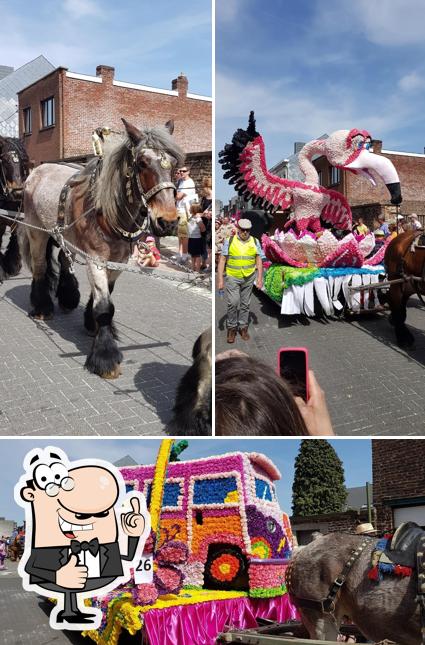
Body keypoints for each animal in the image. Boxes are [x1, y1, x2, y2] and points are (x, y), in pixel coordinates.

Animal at [19, 119, 183, 378]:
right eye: (142, 163)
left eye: (174, 164)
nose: (168, 221)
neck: (106, 211)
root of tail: (37, 171)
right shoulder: (96, 259)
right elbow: (104, 306)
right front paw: (105, 357)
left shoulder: (119, 261)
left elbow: (107, 297)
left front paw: (91, 323)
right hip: (36, 230)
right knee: (40, 267)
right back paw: (42, 307)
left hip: (67, 238)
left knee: (64, 261)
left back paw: (67, 297)